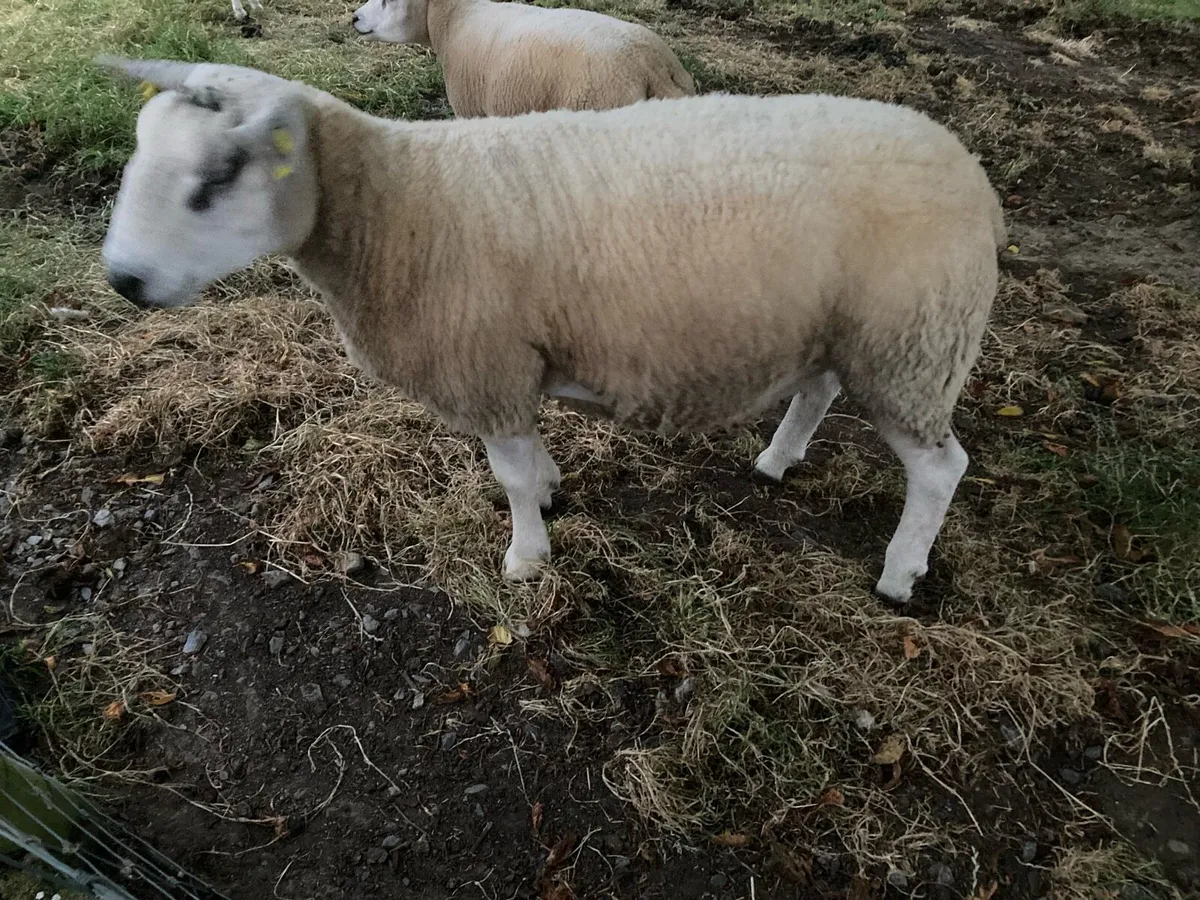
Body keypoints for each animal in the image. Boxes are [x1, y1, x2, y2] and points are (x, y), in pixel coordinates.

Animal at [96, 56, 1005, 604]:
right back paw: (778, 460)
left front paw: (526, 557)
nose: (123, 281)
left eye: (217, 177)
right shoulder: (515, 361)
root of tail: (969, 171)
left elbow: (509, 477)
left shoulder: (487, 362)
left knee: (940, 469)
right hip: (840, 324)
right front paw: (553, 489)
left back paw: (900, 573)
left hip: (912, 342)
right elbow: (531, 459)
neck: (397, 206)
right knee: (817, 390)